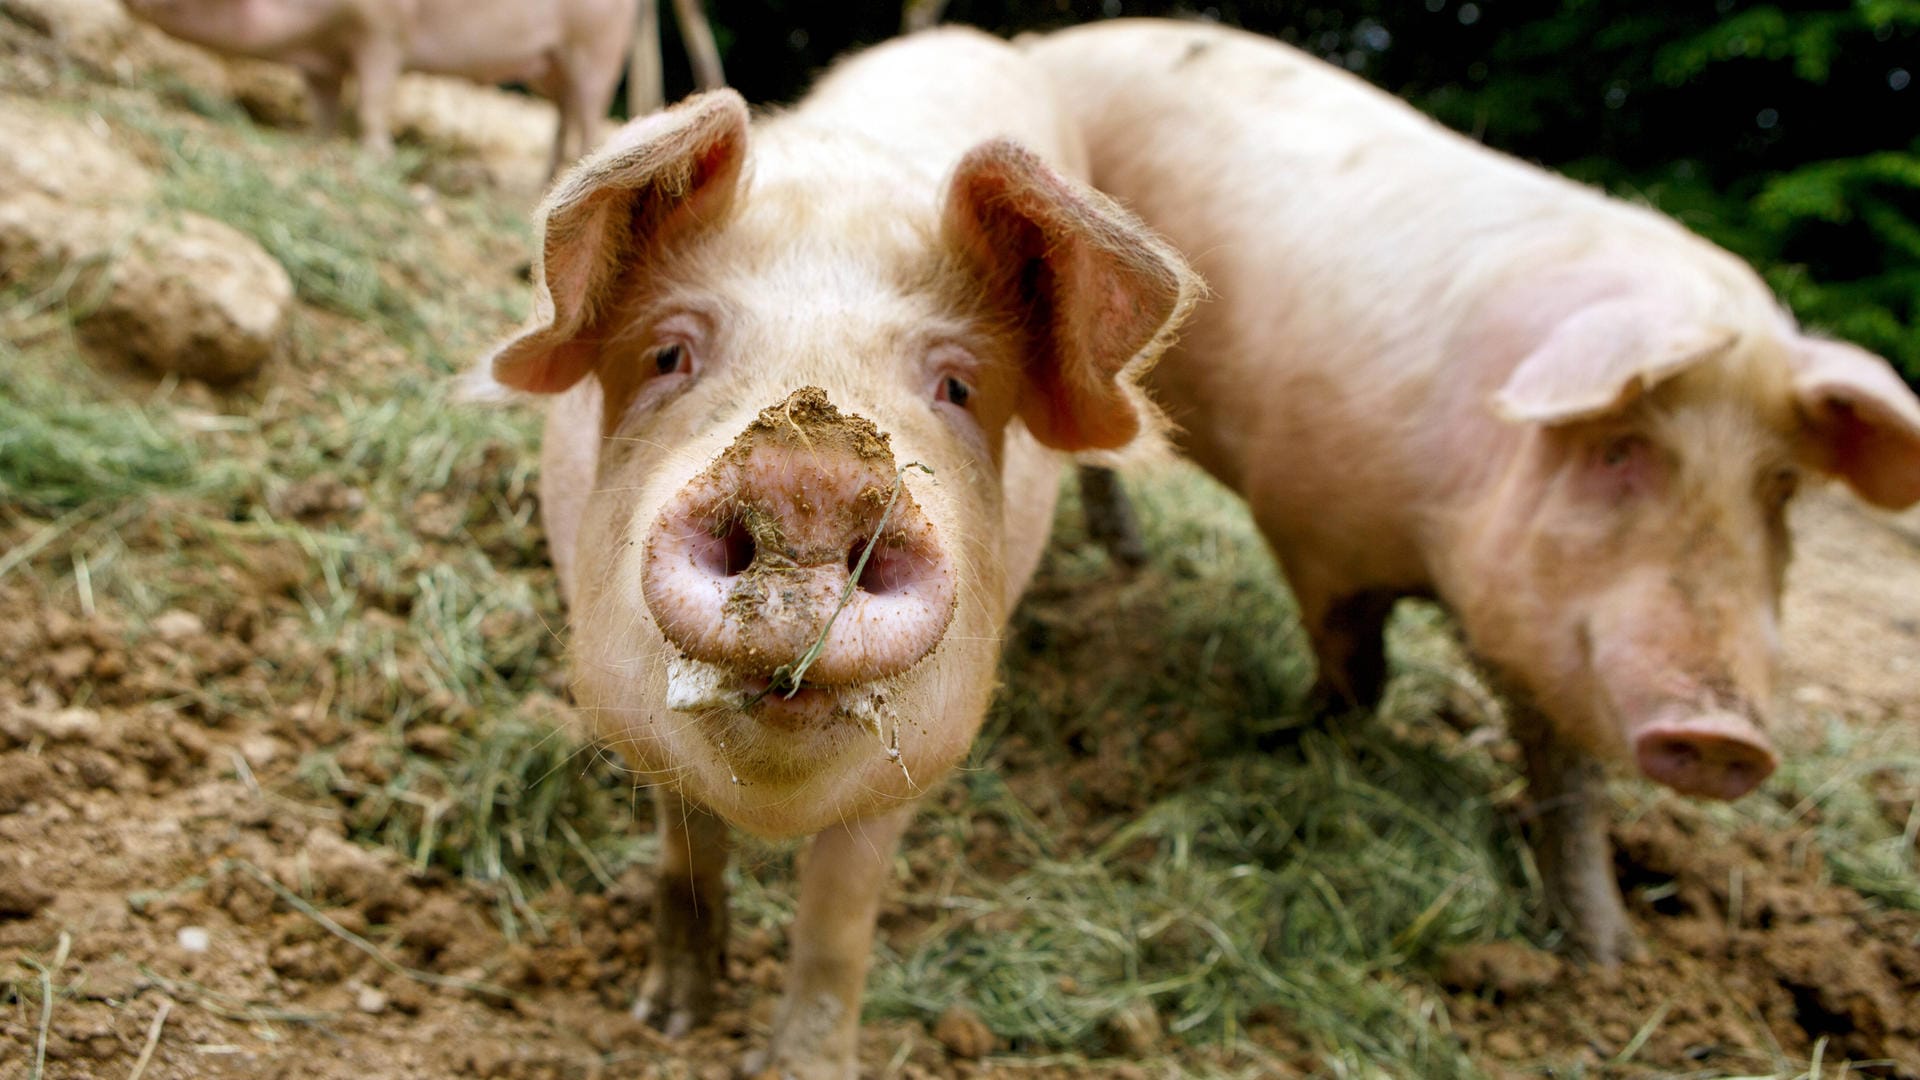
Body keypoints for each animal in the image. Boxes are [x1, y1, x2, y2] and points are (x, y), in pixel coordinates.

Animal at [1036, 16, 1920, 957]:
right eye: (1619, 451)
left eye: (1781, 484)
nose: (1725, 737)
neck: (1436, 547)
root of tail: (1060, 38)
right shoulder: (1311, 528)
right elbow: (1358, 667)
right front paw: (1284, 738)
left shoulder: (1547, 630)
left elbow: (1570, 779)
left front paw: (1606, 954)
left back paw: (1131, 560)